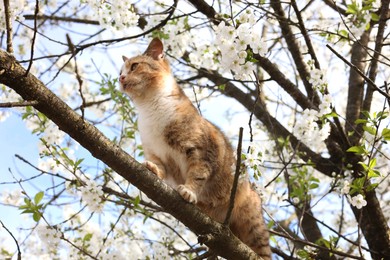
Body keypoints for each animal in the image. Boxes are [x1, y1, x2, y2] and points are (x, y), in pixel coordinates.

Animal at [119, 37, 272, 258]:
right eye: (120, 71)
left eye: (134, 66)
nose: (121, 78)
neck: (150, 109)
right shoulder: (156, 153)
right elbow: (161, 168)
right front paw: (152, 169)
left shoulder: (200, 151)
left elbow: (198, 174)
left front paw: (189, 191)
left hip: (253, 223)